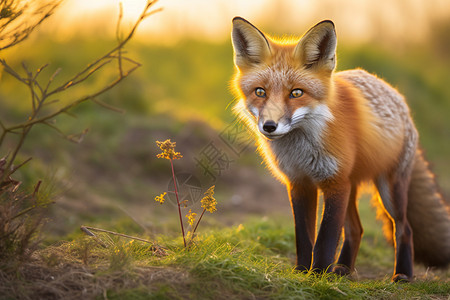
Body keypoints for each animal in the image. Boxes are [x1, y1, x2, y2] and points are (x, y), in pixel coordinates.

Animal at [232, 18, 450, 282]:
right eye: (260, 92)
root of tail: (397, 96)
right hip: (351, 186)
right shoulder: (300, 183)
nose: (269, 126)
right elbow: (304, 237)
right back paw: (343, 269)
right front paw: (302, 272)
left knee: (404, 228)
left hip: (389, 189)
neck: (301, 150)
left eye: (296, 93)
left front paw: (317, 276)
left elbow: (325, 239)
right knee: (357, 229)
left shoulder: (334, 183)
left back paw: (402, 275)